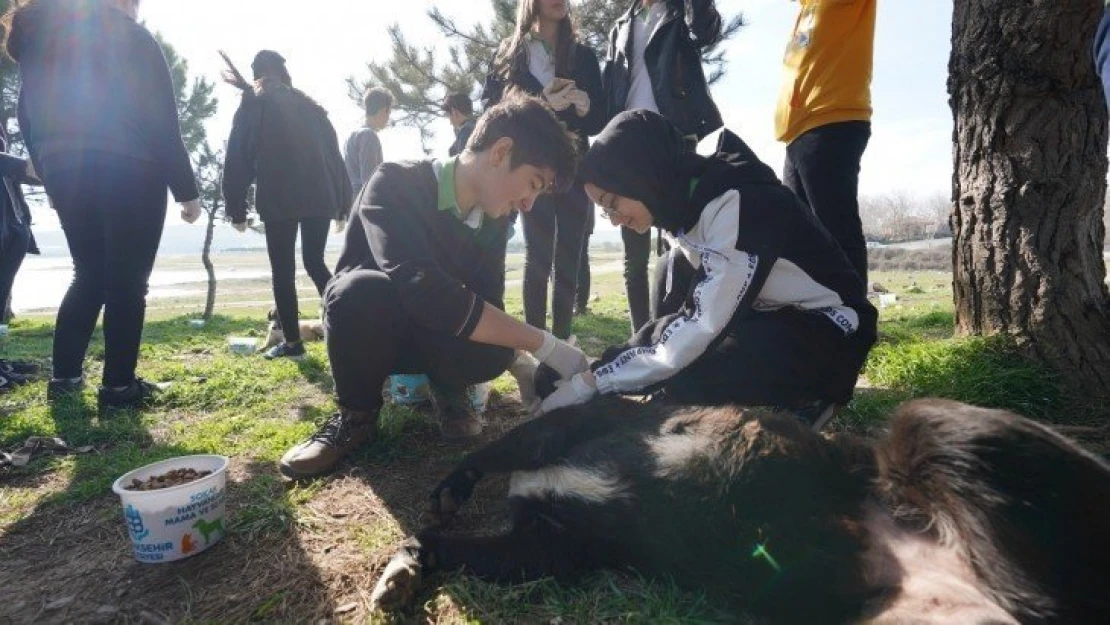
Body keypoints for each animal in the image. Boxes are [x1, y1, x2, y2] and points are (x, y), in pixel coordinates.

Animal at [370, 399, 1110, 621]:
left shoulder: (581, 425)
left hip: (934, 430)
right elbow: (458, 540)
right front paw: (406, 566)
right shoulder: (549, 543)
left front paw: (448, 494)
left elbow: (506, 444)